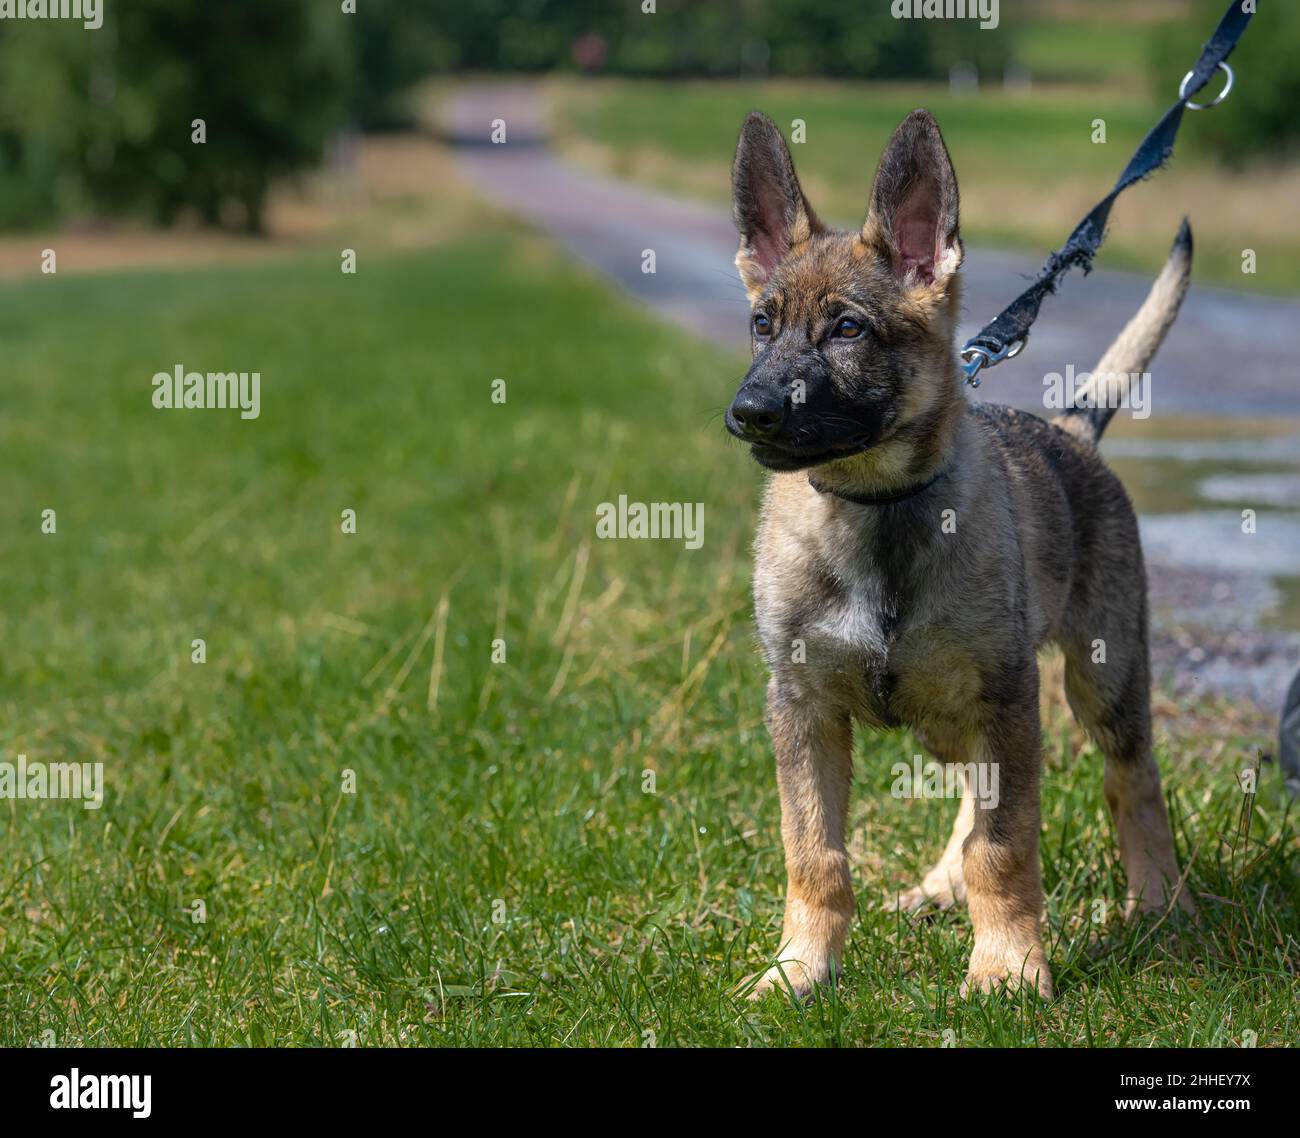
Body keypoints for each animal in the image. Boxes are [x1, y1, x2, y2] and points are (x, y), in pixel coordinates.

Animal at [728, 106, 1190, 998]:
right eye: (763, 325)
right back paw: (941, 886)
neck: (876, 508)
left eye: (848, 329)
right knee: (971, 799)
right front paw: (799, 968)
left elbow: (1006, 846)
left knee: (1132, 779)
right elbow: (815, 852)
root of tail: (1072, 429)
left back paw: (1159, 900)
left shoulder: (1005, 696)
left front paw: (1008, 967)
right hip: (959, 715)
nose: (749, 412)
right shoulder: (800, 707)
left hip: (1101, 679)